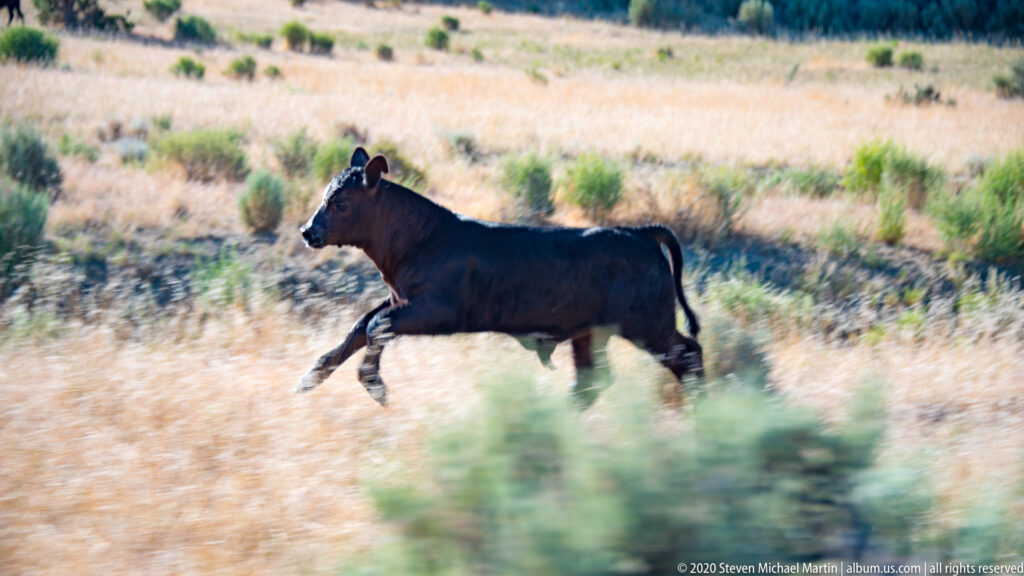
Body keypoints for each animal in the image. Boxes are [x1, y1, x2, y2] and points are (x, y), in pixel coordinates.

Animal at [298, 147, 703, 408]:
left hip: (649, 326)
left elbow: (375, 326)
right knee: (591, 381)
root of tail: (639, 233)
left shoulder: (434, 311)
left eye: (341, 202)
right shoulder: (400, 299)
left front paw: (374, 385)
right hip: (591, 333)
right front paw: (311, 376)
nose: (307, 231)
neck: (423, 239)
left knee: (689, 354)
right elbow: (361, 326)